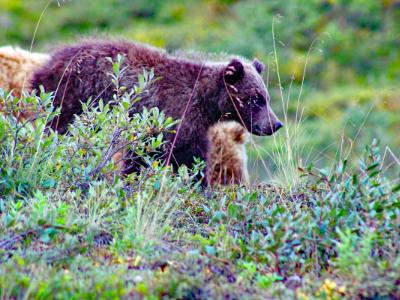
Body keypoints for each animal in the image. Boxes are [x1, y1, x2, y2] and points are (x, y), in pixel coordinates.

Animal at [30, 39, 282, 177]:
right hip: (71, 99)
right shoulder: (171, 117)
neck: (207, 103)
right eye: (256, 98)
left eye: (266, 97)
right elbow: (155, 156)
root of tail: (48, 63)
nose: (275, 124)